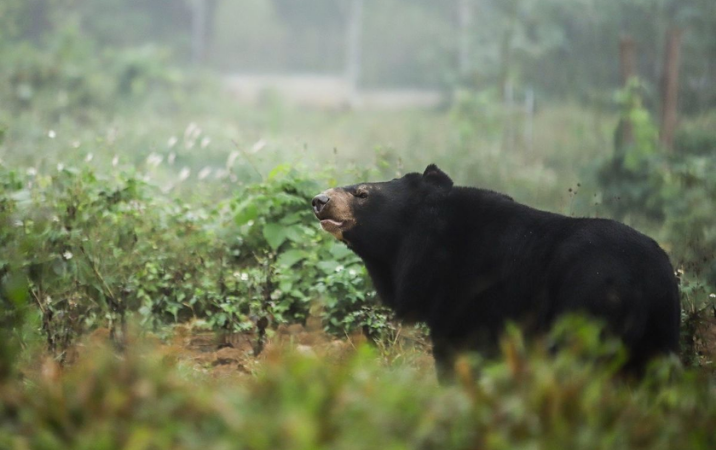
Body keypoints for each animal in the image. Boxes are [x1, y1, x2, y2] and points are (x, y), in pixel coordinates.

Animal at [312, 164, 681, 382]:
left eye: (362, 193)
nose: (318, 200)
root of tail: (649, 278)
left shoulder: (465, 301)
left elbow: (459, 357)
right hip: (660, 332)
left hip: (588, 311)